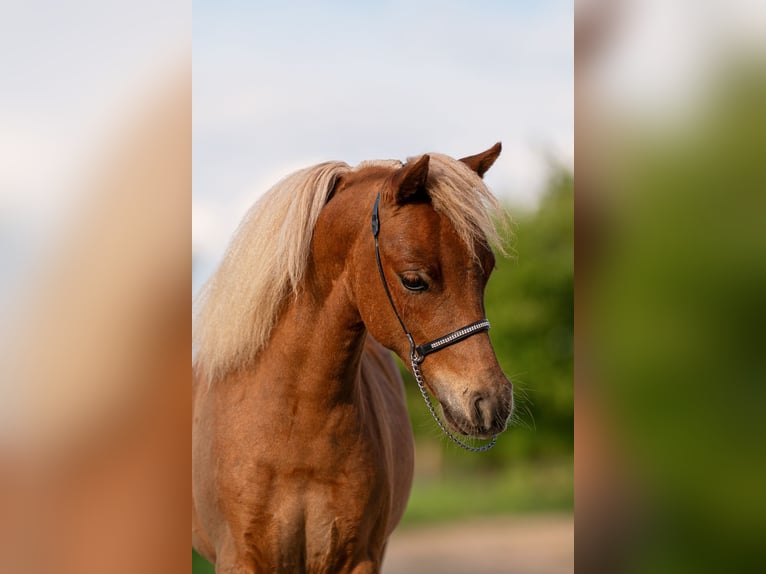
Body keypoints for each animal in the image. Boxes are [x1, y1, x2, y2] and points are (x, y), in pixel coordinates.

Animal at [192, 143, 514, 573]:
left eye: (487, 270)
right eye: (413, 280)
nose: (491, 401)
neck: (295, 429)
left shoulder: (359, 558)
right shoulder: (240, 560)